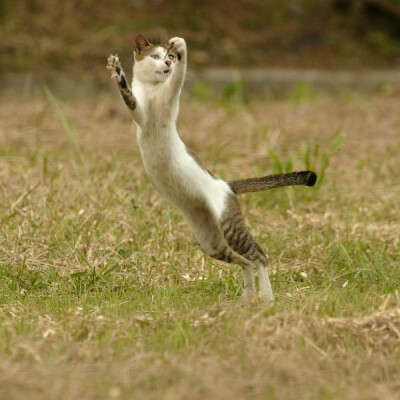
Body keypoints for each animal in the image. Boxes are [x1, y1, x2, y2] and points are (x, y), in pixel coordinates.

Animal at [105, 35, 316, 304]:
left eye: (170, 56)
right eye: (155, 56)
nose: (167, 63)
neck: (153, 89)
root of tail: (225, 184)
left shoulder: (168, 101)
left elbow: (179, 78)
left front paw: (181, 47)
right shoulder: (140, 114)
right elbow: (129, 98)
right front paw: (116, 71)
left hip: (230, 226)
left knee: (260, 255)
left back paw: (267, 299)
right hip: (209, 240)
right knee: (245, 261)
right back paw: (246, 299)